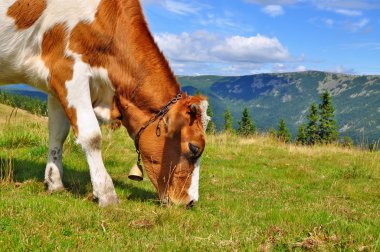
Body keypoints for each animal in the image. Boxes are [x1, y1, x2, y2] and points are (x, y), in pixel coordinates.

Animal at [0, 0, 209, 207]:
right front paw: (107, 194)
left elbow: (57, 134)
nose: (191, 201)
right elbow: (91, 136)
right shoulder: (67, 68)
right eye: (194, 148)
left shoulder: (55, 82)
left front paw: (55, 182)